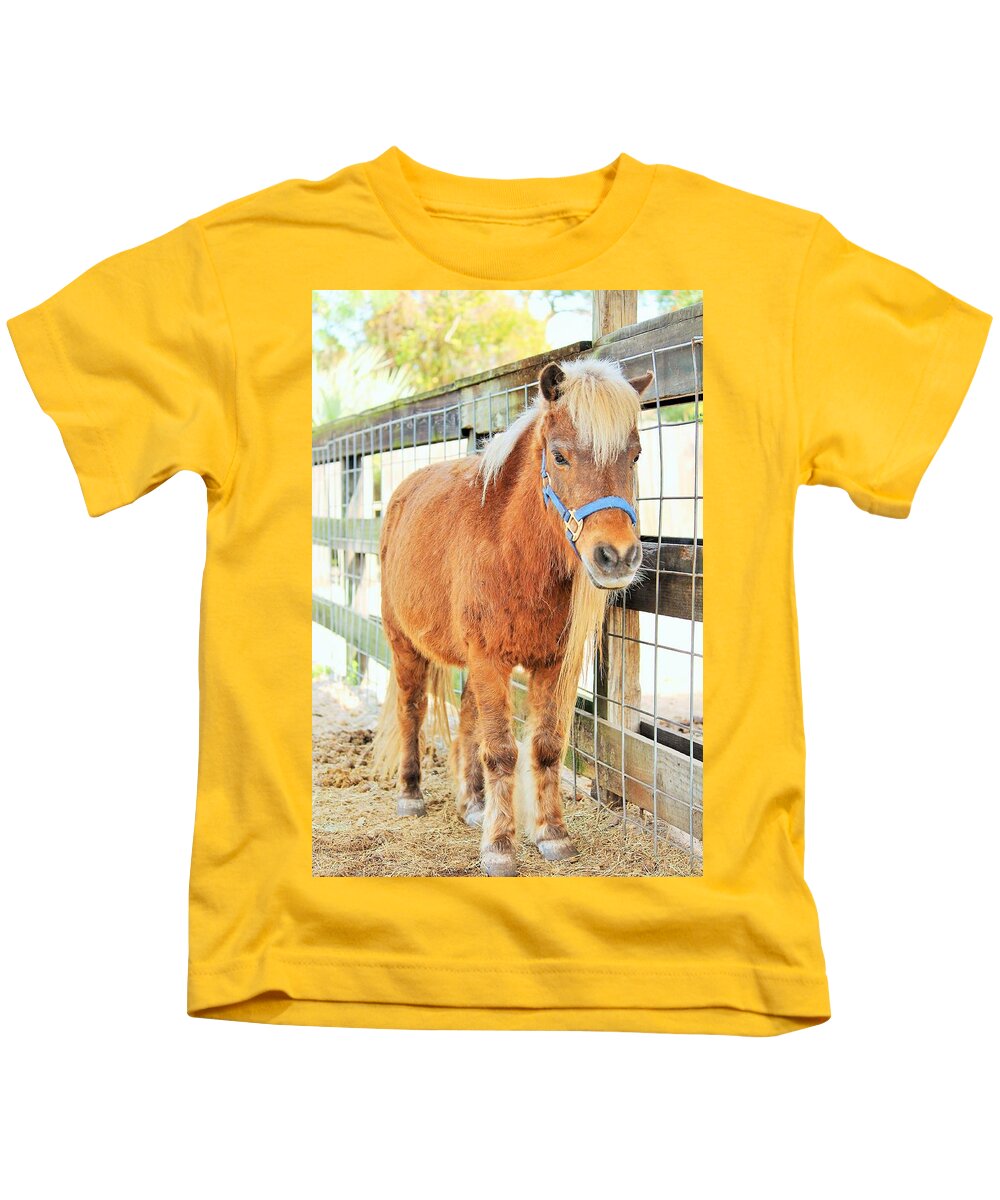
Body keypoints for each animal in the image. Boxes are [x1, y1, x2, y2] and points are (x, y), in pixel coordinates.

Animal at [372, 357, 652, 876]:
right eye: (559, 457)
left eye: (636, 456)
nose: (617, 556)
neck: (513, 551)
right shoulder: (490, 659)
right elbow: (502, 751)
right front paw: (500, 847)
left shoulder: (551, 665)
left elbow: (544, 747)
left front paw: (552, 834)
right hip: (404, 643)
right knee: (411, 710)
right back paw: (411, 793)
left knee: (466, 719)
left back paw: (472, 804)